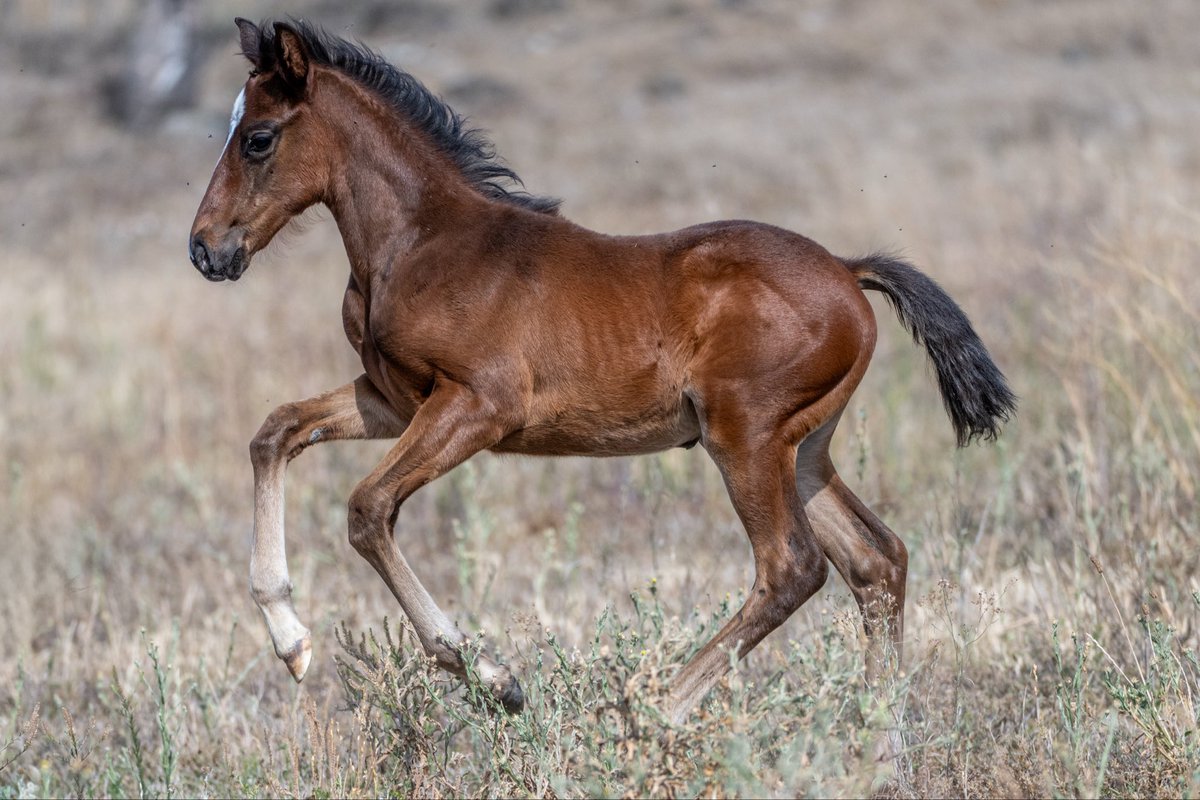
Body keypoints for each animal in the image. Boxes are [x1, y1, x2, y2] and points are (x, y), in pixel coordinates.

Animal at [189, 18, 1015, 723]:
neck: (420, 242)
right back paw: (875, 733)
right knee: (876, 561)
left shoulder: (477, 408)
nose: (205, 249)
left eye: (257, 138)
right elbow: (275, 432)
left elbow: (367, 509)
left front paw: (492, 677)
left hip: (743, 435)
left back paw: (648, 713)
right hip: (803, 447)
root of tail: (847, 271)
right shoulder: (392, 400)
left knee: (794, 567)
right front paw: (292, 643)